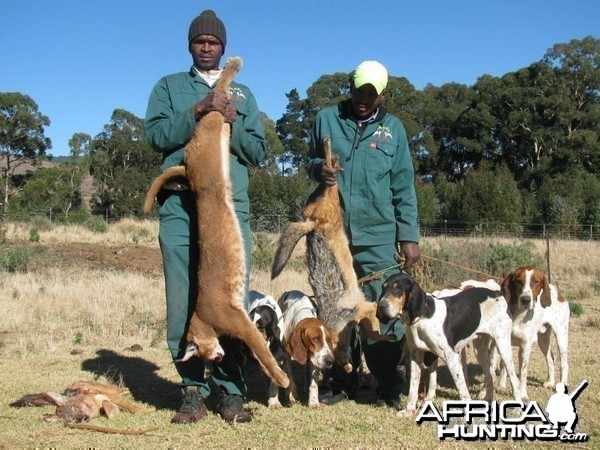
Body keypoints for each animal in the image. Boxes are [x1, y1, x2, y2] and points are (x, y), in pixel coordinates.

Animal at [380, 272, 520, 416]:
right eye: (383, 288)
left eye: (398, 289)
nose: (381, 306)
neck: (423, 317)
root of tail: (497, 293)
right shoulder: (416, 357)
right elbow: (413, 389)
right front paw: (409, 411)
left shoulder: (452, 358)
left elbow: (463, 390)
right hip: (479, 350)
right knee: (490, 375)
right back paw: (488, 401)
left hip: (503, 347)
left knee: (514, 380)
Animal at [496, 266, 572, 400]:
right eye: (518, 282)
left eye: (536, 282)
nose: (525, 300)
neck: (518, 316)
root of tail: (558, 294)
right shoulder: (504, 341)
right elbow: (504, 366)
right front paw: (502, 386)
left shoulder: (525, 347)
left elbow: (523, 374)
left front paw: (522, 394)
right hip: (543, 339)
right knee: (550, 358)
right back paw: (550, 382)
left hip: (561, 337)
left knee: (564, 363)